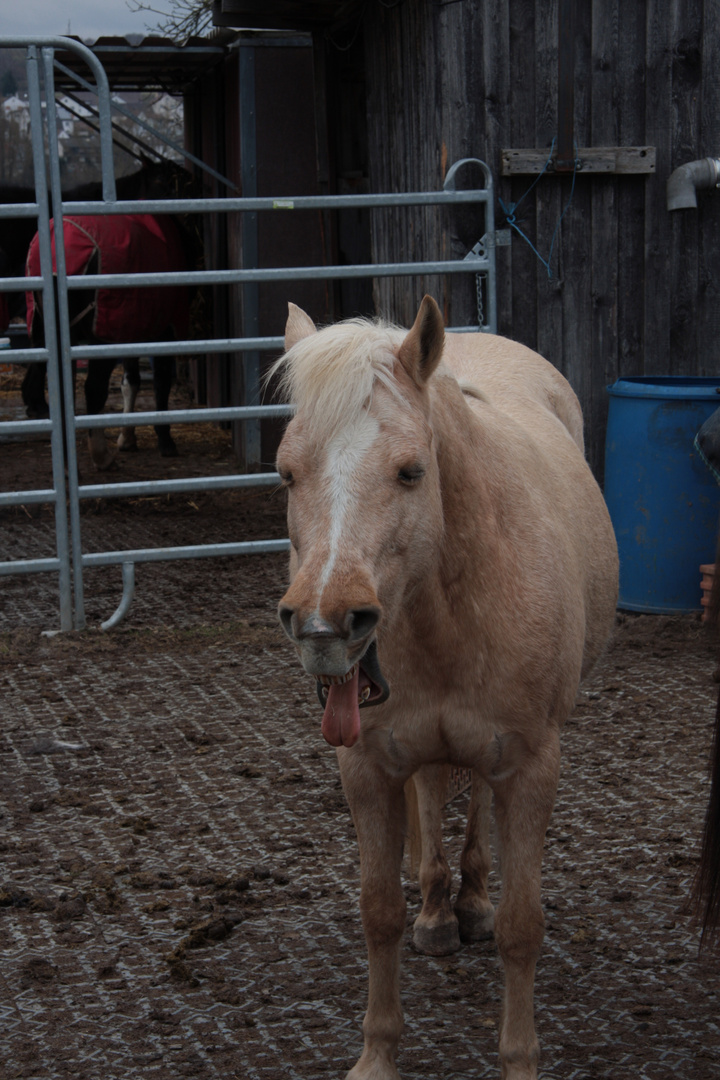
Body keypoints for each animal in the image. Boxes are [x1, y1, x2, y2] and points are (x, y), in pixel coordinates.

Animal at [269, 298, 621, 1080]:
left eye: (410, 471)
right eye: (286, 475)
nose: (325, 625)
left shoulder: (530, 767)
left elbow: (522, 926)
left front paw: (519, 1060)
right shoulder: (366, 767)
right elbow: (379, 914)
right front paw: (377, 1056)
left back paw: (472, 903)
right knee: (433, 794)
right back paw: (438, 912)